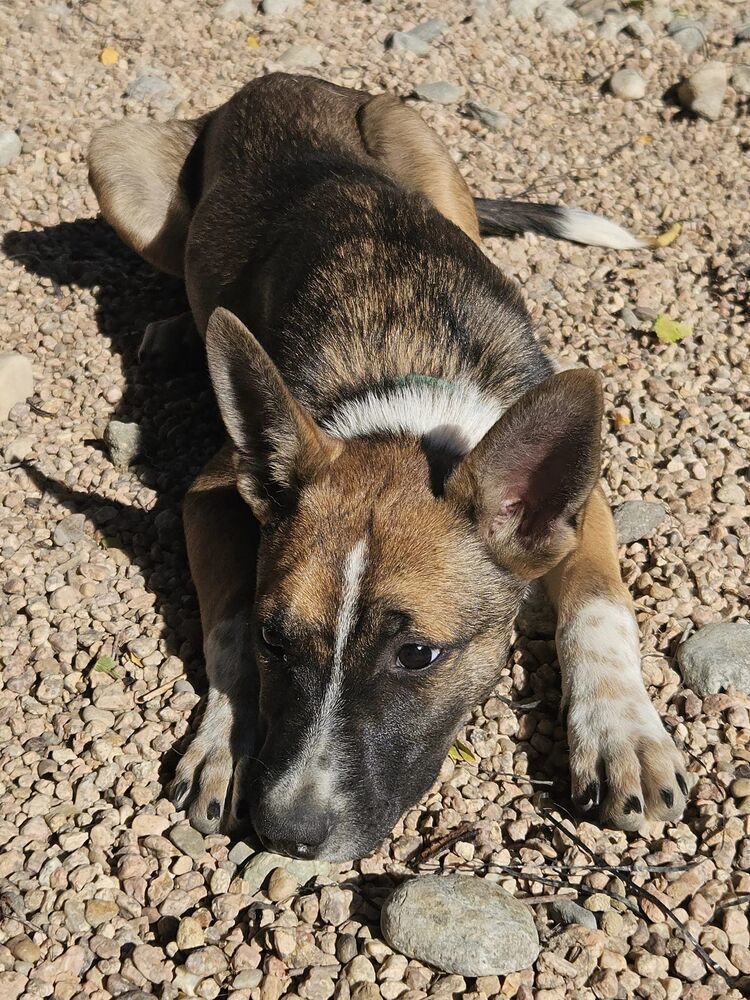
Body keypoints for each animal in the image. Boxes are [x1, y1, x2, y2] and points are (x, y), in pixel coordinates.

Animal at [86, 74, 688, 864]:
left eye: (417, 654)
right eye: (276, 641)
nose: (288, 835)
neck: (404, 390)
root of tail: (275, 79)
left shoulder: (578, 504)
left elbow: (598, 603)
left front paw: (622, 734)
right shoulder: (212, 492)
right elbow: (230, 618)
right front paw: (224, 743)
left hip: (426, 156)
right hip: (119, 170)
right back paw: (185, 328)